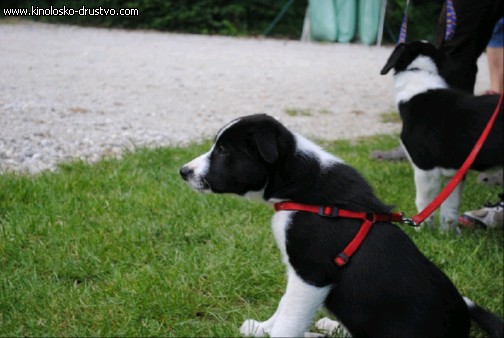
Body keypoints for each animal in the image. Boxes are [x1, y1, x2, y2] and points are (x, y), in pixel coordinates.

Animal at [179, 114, 502, 338]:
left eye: (223, 151)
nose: (183, 171)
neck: (298, 184)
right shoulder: (297, 271)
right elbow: (284, 306)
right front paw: (262, 327)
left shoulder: (311, 274)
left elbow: (289, 320)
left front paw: (270, 330)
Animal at [380, 39, 502, 230]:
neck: (419, 74)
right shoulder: (456, 170)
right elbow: (449, 207)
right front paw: (448, 233)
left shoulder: (425, 168)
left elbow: (424, 203)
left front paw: (422, 229)